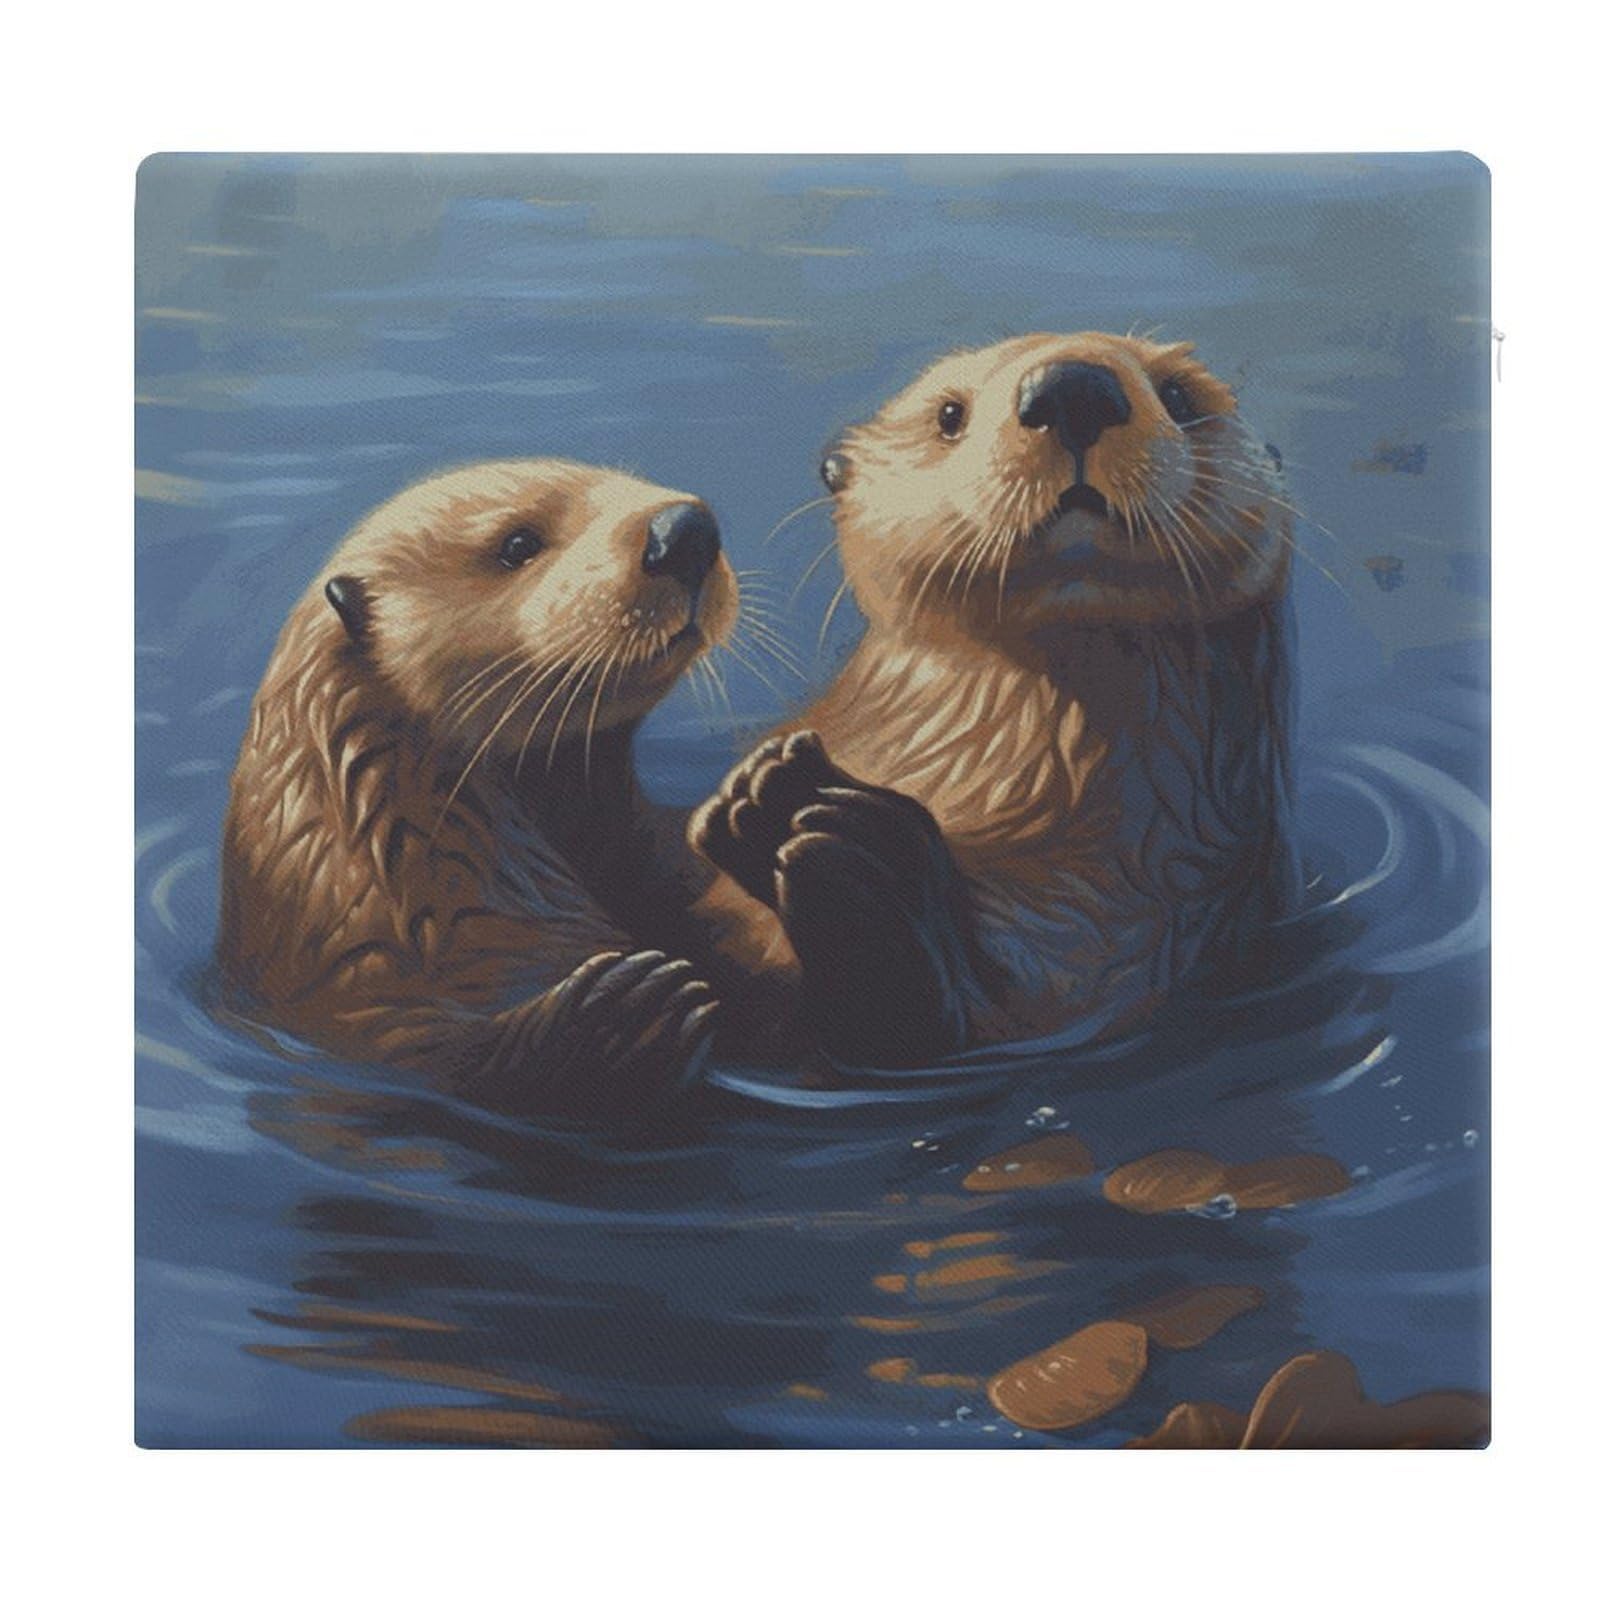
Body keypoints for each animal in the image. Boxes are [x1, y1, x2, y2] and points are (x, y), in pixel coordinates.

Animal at [691, 333, 1297, 1069]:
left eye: (1179, 396)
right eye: (949, 415)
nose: (1072, 388)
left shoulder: (1136, 926)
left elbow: (945, 1026)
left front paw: (848, 848)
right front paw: (763, 796)